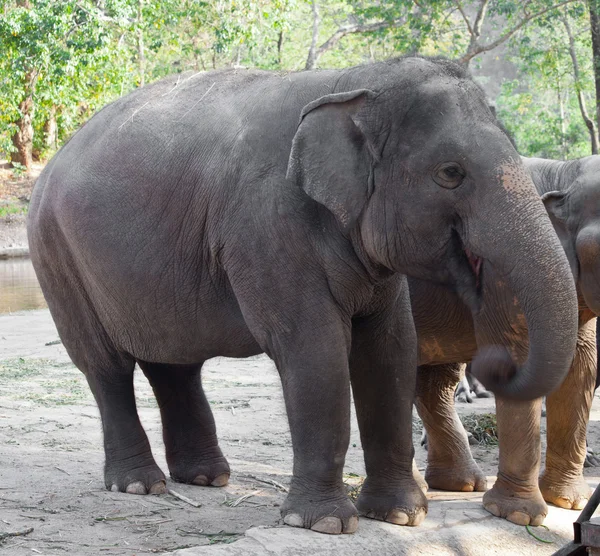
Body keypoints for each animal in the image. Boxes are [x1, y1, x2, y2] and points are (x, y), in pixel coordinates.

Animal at [27, 56, 576, 536]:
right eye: (450, 173)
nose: (491, 367)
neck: (351, 81)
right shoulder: (267, 226)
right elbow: (317, 350)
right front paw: (325, 524)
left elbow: (391, 349)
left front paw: (400, 516)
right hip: (56, 257)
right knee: (106, 366)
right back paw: (140, 486)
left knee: (174, 362)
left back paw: (206, 478)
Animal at [412, 155, 600, 524]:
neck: (563, 171)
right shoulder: (503, 274)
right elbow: (521, 352)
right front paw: (518, 516)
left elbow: (581, 367)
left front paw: (569, 502)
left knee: (434, 383)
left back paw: (461, 484)